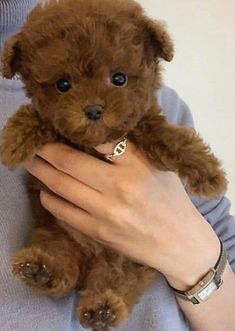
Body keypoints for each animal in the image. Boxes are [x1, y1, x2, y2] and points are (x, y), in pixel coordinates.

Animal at [0, 0, 228, 330]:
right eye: (62, 85)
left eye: (119, 79)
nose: (94, 110)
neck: (96, 142)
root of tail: (91, 259)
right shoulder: (56, 126)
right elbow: (37, 115)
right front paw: (14, 141)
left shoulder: (146, 126)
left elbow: (174, 139)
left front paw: (209, 174)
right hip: (56, 234)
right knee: (62, 268)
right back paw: (41, 270)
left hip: (131, 258)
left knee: (119, 281)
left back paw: (103, 308)